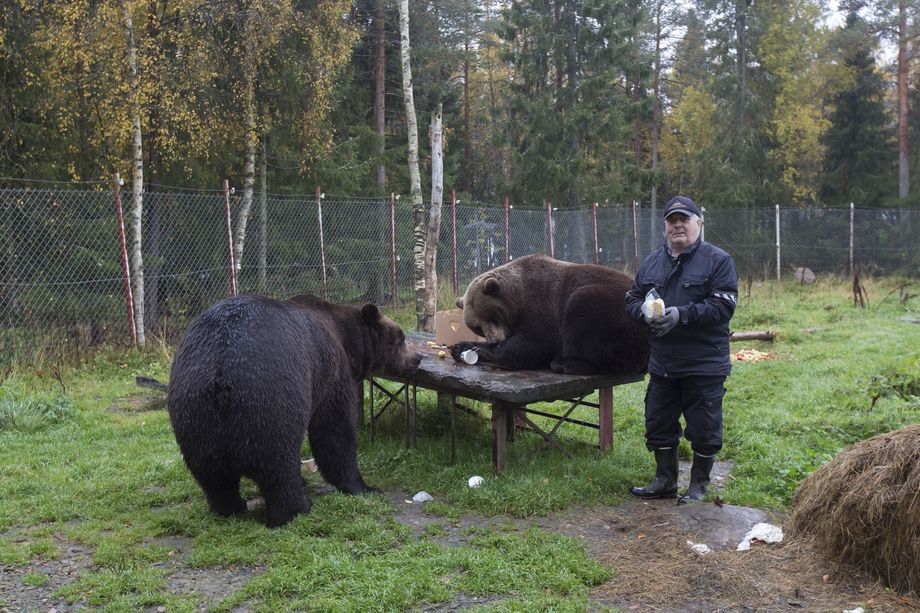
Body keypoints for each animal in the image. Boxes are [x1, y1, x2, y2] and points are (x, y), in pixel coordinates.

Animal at [166, 292, 420, 524]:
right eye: (400, 338)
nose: (417, 358)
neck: (348, 340)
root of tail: (220, 374)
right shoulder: (330, 371)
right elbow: (335, 430)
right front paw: (364, 486)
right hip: (271, 396)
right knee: (278, 462)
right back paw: (297, 507)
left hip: (194, 410)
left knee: (212, 473)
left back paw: (230, 506)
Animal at [452, 255, 648, 378]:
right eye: (477, 327)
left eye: (491, 315)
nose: (494, 339)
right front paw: (461, 346)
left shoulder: (542, 307)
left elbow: (533, 343)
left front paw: (487, 352)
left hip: (615, 310)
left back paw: (564, 364)